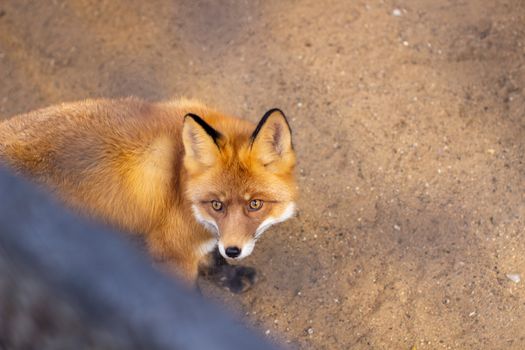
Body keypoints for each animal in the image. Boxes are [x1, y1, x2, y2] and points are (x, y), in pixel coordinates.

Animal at [0, 97, 294, 292]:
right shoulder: (172, 252)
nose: (233, 250)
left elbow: (213, 259)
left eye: (255, 204)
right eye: (216, 205)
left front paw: (231, 277)